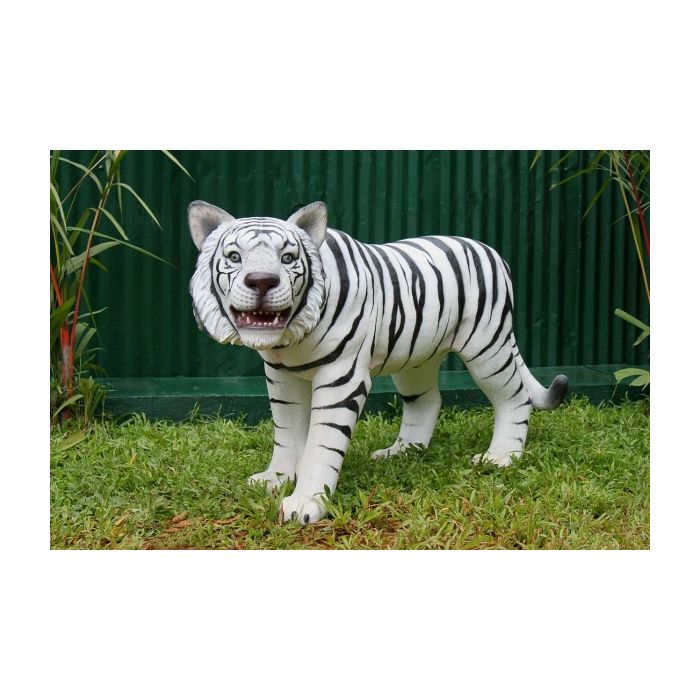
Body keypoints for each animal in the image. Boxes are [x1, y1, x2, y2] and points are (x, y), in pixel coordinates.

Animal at [188, 200, 568, 524]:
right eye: (234, 256)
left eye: (288, 257)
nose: (262, 281)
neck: (292, 335)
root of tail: (491, 251)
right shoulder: (282, 377)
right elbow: (287, 435)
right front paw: (275, 479)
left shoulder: (341, 377)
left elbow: (321, 444)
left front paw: (305, 503)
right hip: (417, 355)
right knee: (427, 401)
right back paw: (402, 452)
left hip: (487, 345)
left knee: (514, 397)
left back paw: (501, 456)